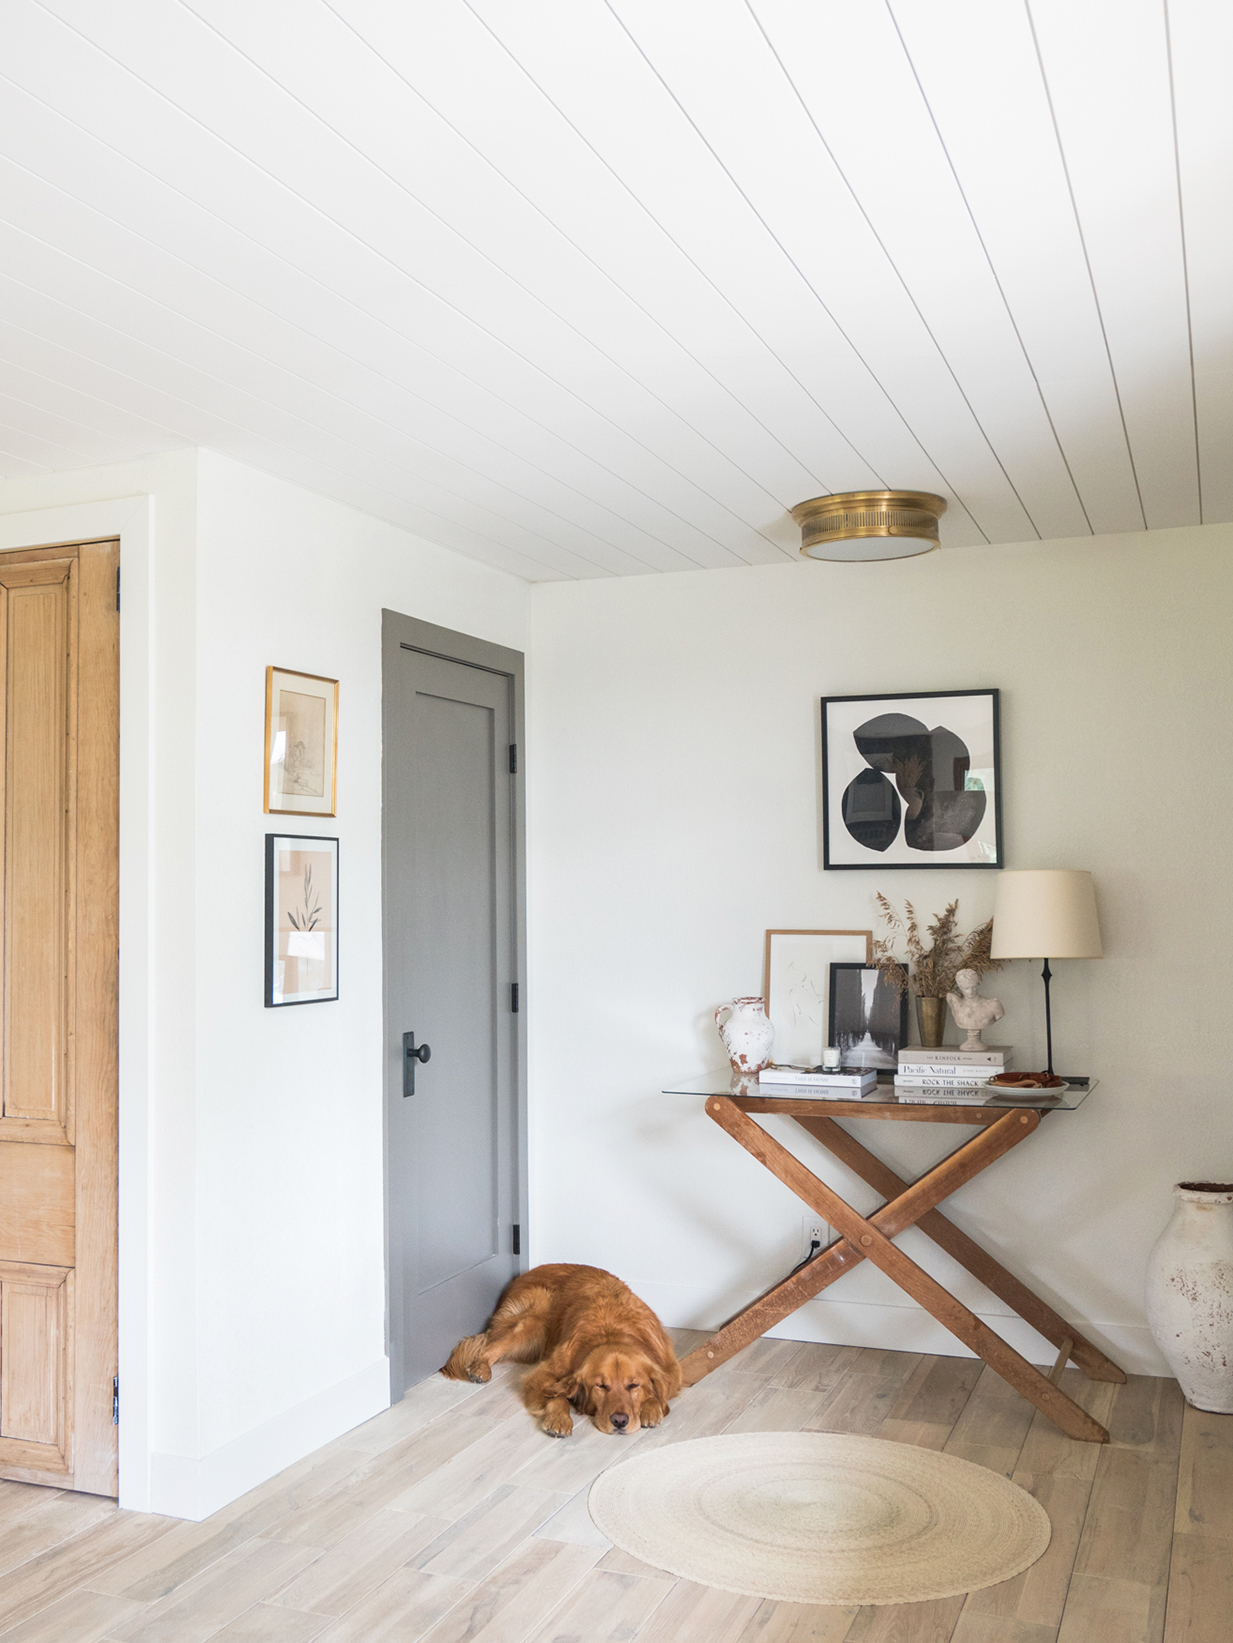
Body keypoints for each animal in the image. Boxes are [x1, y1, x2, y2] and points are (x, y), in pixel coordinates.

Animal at [440, 1261, 687, 1432]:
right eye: (600, 1386)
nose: (619, 1421)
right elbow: (555, 1394)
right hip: (535, 1317)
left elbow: (660, 1392)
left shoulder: (671, 1370)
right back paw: (480, 1368)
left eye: (634, 1385)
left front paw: (651, 1409)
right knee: (489, 1346)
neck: (612, 1333)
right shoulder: (543, 1373)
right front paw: (559, 1420)